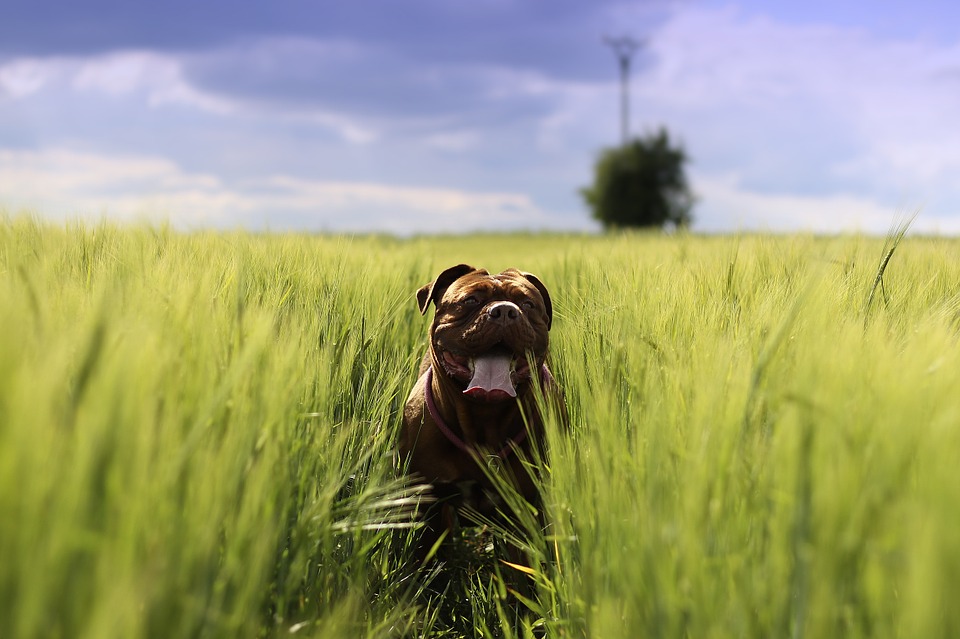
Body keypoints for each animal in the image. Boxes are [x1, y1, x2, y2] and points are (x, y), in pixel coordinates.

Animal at [398, 264, 564, 564]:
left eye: (527, 304)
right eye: (471, 300)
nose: (505, 311)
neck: (483, 419)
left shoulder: (525, 510)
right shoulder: (428, 504)